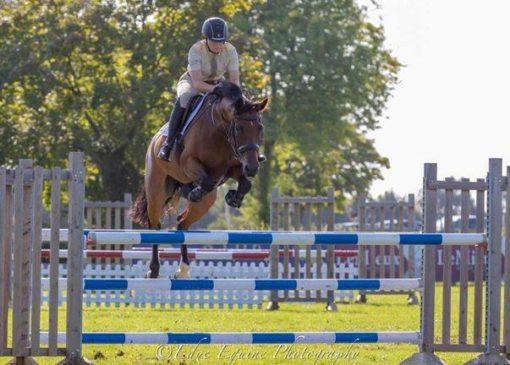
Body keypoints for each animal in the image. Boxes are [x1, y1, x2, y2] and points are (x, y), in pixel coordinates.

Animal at [130, 81, 266, 278]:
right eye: (239, 128)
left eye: (260, 129)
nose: (253, 167)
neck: (220, 129)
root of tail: (154, 140)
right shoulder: (189, 163)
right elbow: (206, 181)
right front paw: (196, 192)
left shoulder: (232, 168)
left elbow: (245, 183)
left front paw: (233, 198)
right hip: (156, 191)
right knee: (154, 225)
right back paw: (153, 270)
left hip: (206, 202)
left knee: (182, 223)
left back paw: (183, 269)